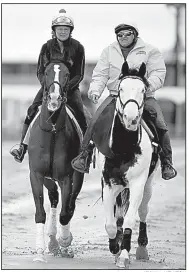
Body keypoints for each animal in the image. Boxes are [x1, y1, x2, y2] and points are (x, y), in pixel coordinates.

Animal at [27, 61, 84, 262]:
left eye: (67, 74)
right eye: (46, 72)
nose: (54, 98)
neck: (52, 130)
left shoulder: (67, 177)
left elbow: (66, 212)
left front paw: (65, 241)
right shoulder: (36, 175)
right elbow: (40, 213)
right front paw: (39, 252)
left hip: (77, 177)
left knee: (70, 204)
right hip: (48, 179)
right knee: (53, 198)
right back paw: (51, 241)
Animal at [94, 62, 159, 268]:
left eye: (143, 89)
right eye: (121, 88)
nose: (131, 118)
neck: (123, 148)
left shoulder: (138, 184)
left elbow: (131, 218)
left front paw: (123, 254)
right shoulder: (108, 184)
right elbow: (111, 223)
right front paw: (115, 247)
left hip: (148, 185)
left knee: (143, 212)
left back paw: (141, 249)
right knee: (120, 216)